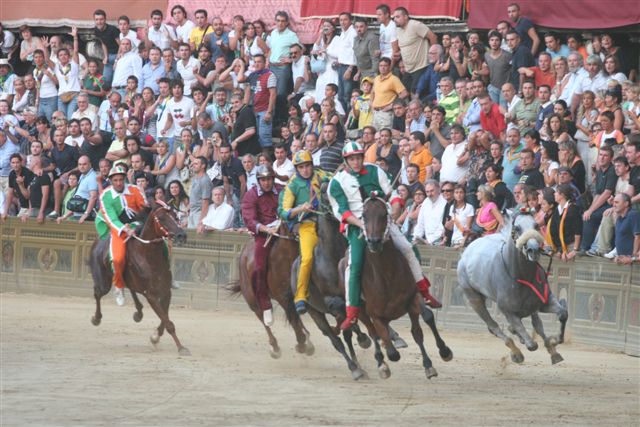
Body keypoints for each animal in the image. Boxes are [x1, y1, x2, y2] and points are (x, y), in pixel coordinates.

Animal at [90, 202, 190, 356]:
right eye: (162, 218)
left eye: (175, 216)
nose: (182, 235)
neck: (149, 257)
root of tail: (98, 241)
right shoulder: (151, 295)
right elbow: (168, 322)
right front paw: (181, 347)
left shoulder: (166, 292)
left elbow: (165, 318)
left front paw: (155, 337)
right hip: (104, 283)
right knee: (98, 293)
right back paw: (96, 318)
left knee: (130, 288)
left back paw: (138, 312)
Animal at [229, 222, 314, 360]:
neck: (286, 256)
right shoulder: (282, 295)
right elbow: (292, 316)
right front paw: (301, 343)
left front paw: (305, 340)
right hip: (252, 299)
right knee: (262, 318)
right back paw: (275, 346)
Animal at [350, 196, 456, 380]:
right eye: (363, 216)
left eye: (384, 214)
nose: (374, 242)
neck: (387, 275)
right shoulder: (374, 314)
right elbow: (391, 350)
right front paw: (387, 356)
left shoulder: (413, 297)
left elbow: (427, 318)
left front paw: (443, 353)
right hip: (362, 311)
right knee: (373, 333)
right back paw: (381, 363)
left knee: (415, 331)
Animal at [458, 211, 568, 364]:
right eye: (517, 228)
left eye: (536, 225)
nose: (533, 250)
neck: (521, 275)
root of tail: (466, 251)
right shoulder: (508, 310)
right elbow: (532, 345)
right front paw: (522, 347)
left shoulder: (544, 302)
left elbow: (562, 314)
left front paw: (553, 342)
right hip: (474, 299)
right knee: (493, 327)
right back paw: (516, 351)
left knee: (536, 323)